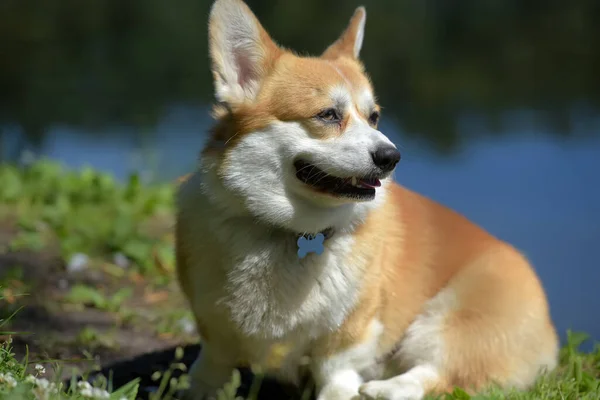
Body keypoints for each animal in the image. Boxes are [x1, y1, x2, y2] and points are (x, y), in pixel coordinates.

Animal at [176, 1, 560, 398]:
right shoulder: (215, 334)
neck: (289, 232)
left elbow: (338, 377)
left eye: (373, 116)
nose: (392, 157)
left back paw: (385, 388)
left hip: (451, 322)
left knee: (439, 373)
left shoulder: (346, 344)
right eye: (328, 114)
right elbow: (209, 372)